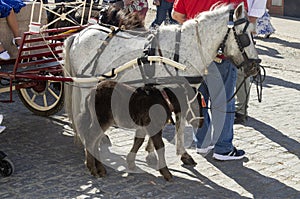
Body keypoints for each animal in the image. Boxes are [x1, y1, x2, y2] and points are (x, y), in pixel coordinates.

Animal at [62, 1, 260, 179]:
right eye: (246, 35)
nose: (254, 67)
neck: (184, 51)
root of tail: (79, 35)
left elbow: (176, 124)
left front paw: (156, 152)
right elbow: (175, 125)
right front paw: (165, 154)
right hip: (86, 86)